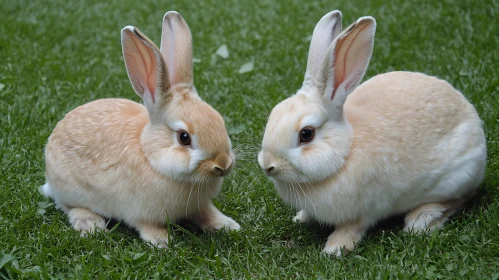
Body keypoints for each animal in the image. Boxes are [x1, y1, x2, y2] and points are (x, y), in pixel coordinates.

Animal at [42, 10, 241, 247]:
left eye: (219, 120)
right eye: (184, 137)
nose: (223, 164)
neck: (150, 155)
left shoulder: (198, 207)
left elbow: (206, 214)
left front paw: (228, 225)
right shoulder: (139, 212)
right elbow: (147, 226)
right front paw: (162, 241)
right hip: (71, 191)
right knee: (69, 206)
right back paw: (90, 224)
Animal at [260, 10, 486, 256]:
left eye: (306, 134)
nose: (267, 165)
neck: (345, 153)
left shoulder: (365, 210)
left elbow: (352, 228)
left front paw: (334, 248)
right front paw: (300, 218)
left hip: (459, 176)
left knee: (457, 200)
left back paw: (421, 220)